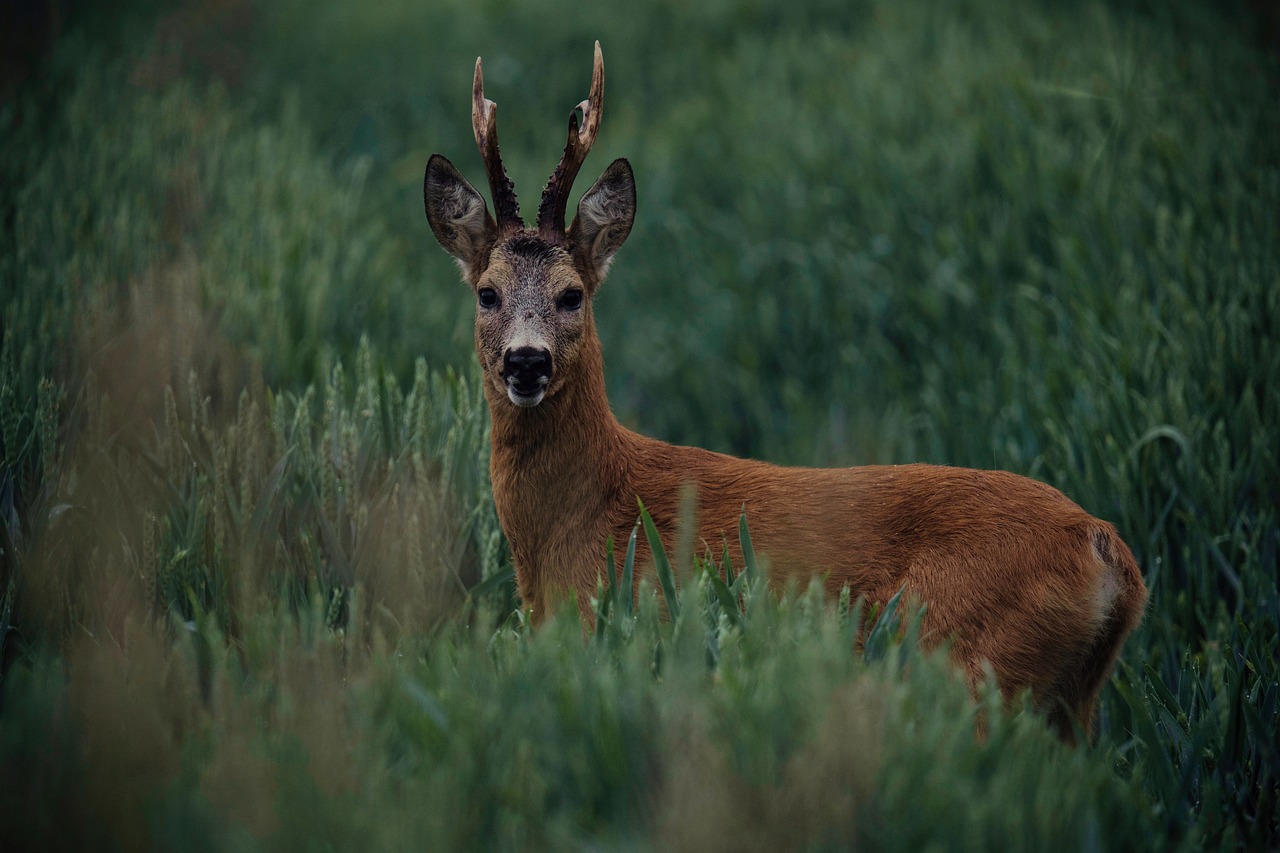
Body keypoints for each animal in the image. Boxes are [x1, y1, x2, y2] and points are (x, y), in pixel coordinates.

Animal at [422, 41, 1152, 732]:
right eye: (487, 293)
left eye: (571, 294)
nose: (526, 362)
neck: (590, 515)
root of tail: (1109, 553)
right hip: (1069, 702)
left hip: (970, 667)